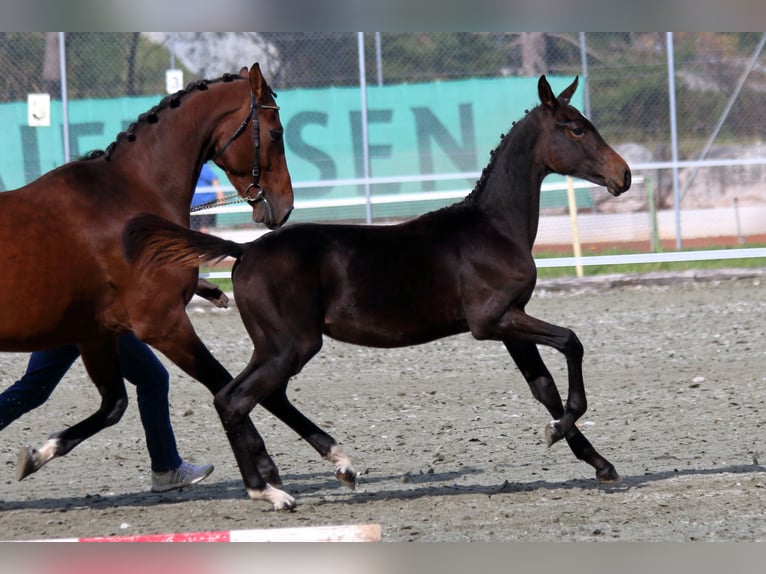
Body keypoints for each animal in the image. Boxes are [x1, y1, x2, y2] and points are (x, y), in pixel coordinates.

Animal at [0, 63, 294, 484]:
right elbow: (222, 383)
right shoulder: (165, 325)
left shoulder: (97, 334)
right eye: (275, 133)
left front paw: (39, 454)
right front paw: (266, 469)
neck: (129, 197)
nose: (285, 207)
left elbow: (114, 405)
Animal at [124, 74, 632, 510]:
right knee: (235, 399)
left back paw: (334, 467)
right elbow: (571, 342)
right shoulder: (493, 321)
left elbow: (544, 387)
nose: (623, 175)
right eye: (575, 128)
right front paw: (559, 432)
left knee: (251, 395)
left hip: (274, 345)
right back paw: (269, 492)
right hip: (292, 345)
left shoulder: (509, 324)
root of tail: (243, 250)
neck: (495, 227)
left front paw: (597, 461)